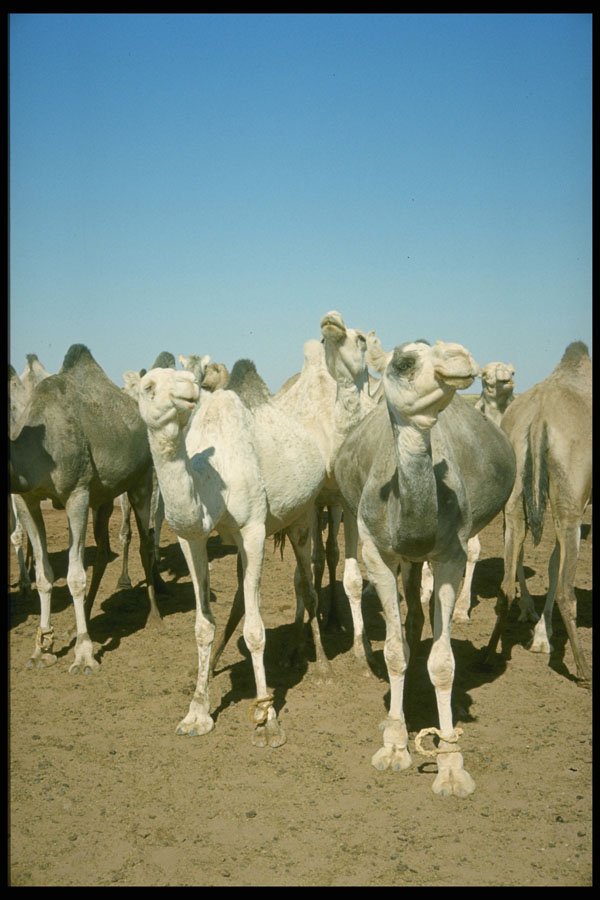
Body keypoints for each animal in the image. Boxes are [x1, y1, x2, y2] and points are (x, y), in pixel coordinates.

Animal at [10, 344, 162, 674]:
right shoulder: (27, 499)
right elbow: (45, 574)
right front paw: (42, 649)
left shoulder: (76, 493)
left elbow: (75, 576)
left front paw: (83, 655)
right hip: (102, 497)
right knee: (103, 551)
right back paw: (82, 622)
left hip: (142, 480)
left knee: (145, 540)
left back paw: (154, 616)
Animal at [137, 358, 331, 746]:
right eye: (148, 386)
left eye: (182, 376)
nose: (187, 387)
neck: (213, 481)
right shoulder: (191, 538)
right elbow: (202, 624)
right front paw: (197, 711)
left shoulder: (253, 529)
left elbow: (256, 630)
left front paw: (267, 720)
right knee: (248, 595)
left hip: (304, 514)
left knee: (309, 585)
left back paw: (320, 664)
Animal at [332, 338, 516, 796]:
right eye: (404, 362)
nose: (460, 357)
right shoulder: (379, 554)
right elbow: (394, 651)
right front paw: (395, 744)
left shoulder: (449, 556)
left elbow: (443, 663)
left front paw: (450, 766)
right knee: (409, 613)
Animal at [483, 341, 592, 686]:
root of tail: (540, 417)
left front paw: (541, 634)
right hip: (570, 503)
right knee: (567, 591)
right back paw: (584, 671)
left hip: (516, 492)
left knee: (506, 584)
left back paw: (489, 655)